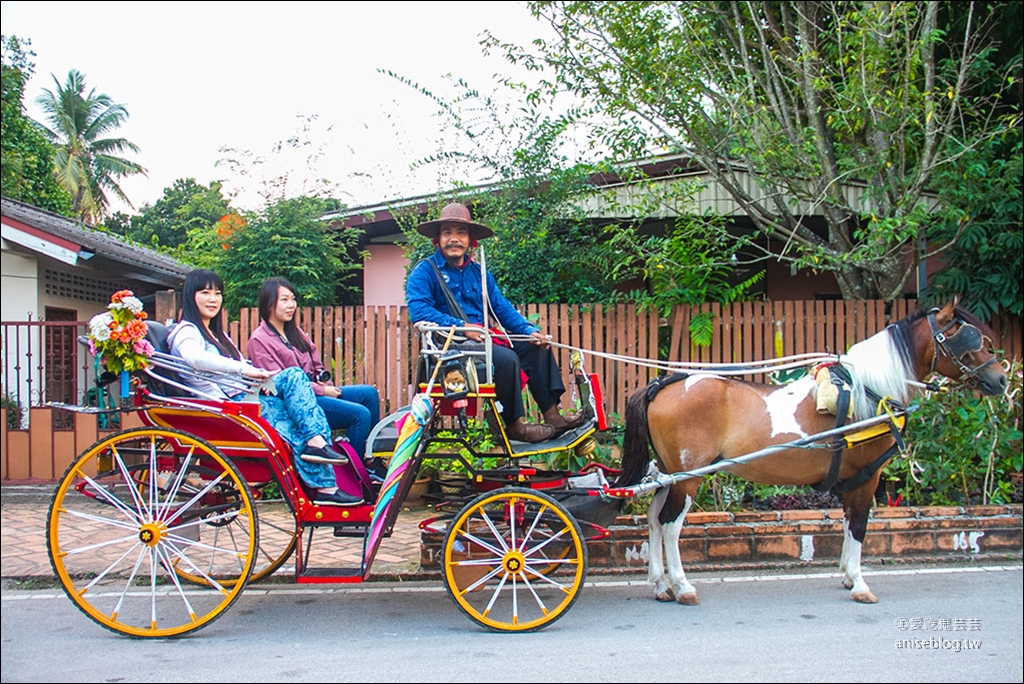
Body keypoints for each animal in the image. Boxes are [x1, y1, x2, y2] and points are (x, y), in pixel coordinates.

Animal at [614, 298, 1007, 602]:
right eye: (968, 340)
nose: (1001, 379)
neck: (869, 391)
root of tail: (662, 385)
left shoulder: (854, 478)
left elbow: (848, 523)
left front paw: (847, 575)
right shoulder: (868, 476)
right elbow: (860, 525)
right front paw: (860, 584)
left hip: (669, 473)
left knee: (653, 517)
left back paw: (661, 584)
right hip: (689, 476)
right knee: (670, 524)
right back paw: (682, 587)